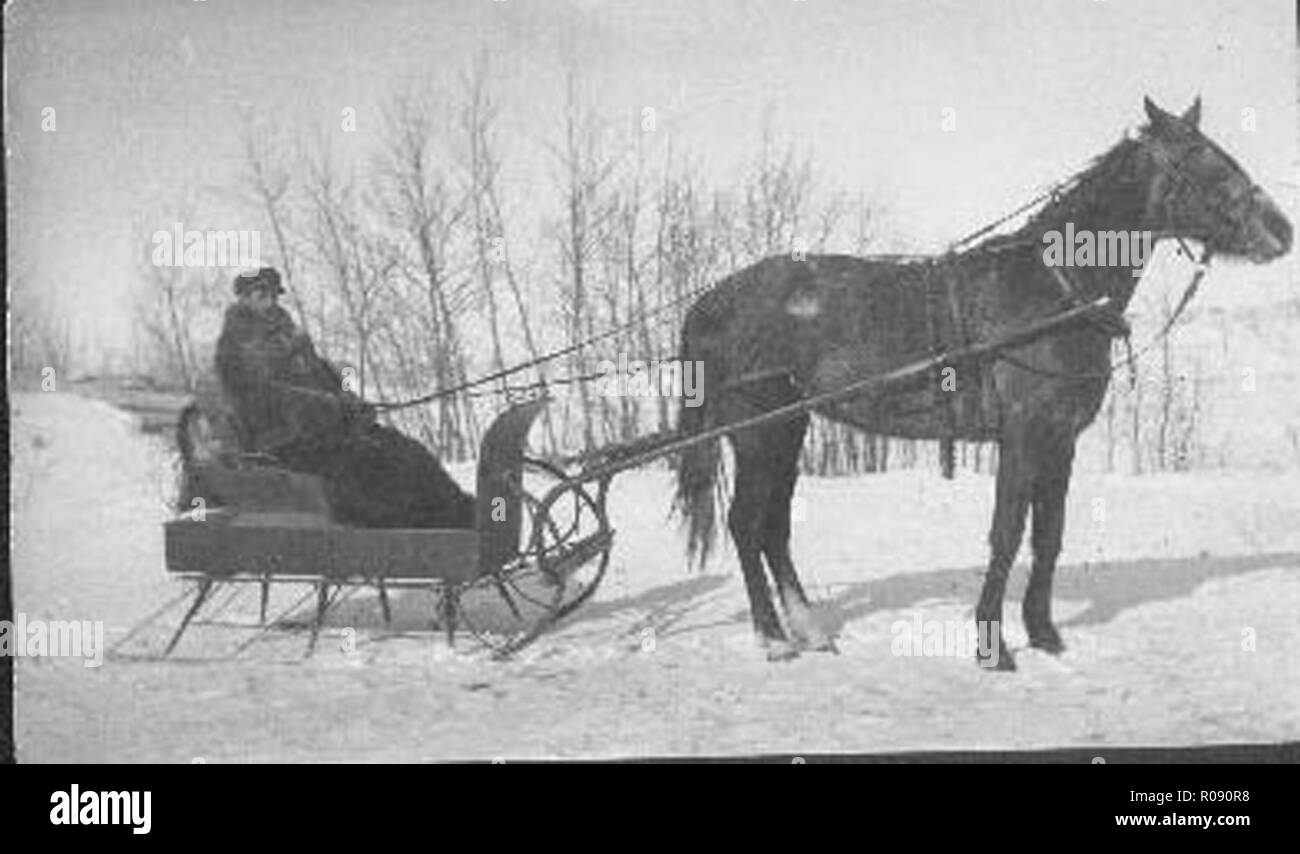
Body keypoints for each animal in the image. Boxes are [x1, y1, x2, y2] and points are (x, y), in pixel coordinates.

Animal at [676, 98, 1294, 665]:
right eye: (1205, 162)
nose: (1282, 230)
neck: (1056, 289)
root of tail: (712, 300)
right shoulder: (1022, 435)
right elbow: (1007, 533)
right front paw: (993, 646)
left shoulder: (1060, 441)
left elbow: (1048, 536)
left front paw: (1044, 634)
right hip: (759, 434)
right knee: (745, 524)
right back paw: (773, 637)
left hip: (788, 430)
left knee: (773, 528)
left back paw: (809, 631)